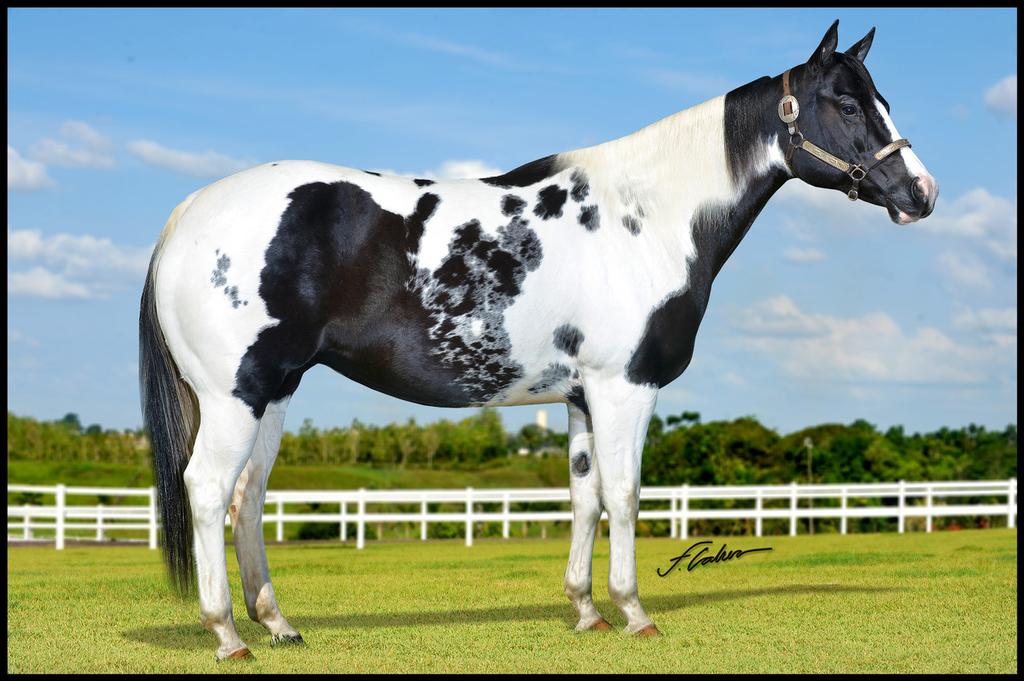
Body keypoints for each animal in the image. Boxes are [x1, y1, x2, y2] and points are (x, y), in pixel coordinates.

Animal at [138, 21, 937, 659]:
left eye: (883, 101)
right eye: (846, 103)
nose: (921, 194)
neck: (646, 217)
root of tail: (187, 212)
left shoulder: (583, 396)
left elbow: (584, 496)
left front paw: (586, 611)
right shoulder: (625, 387)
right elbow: (625, 494)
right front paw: (635, 613)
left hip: (273, 391)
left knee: (248, 496)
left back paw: (277, 624)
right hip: (235, 393)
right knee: (208, 490)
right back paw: (228, 635)